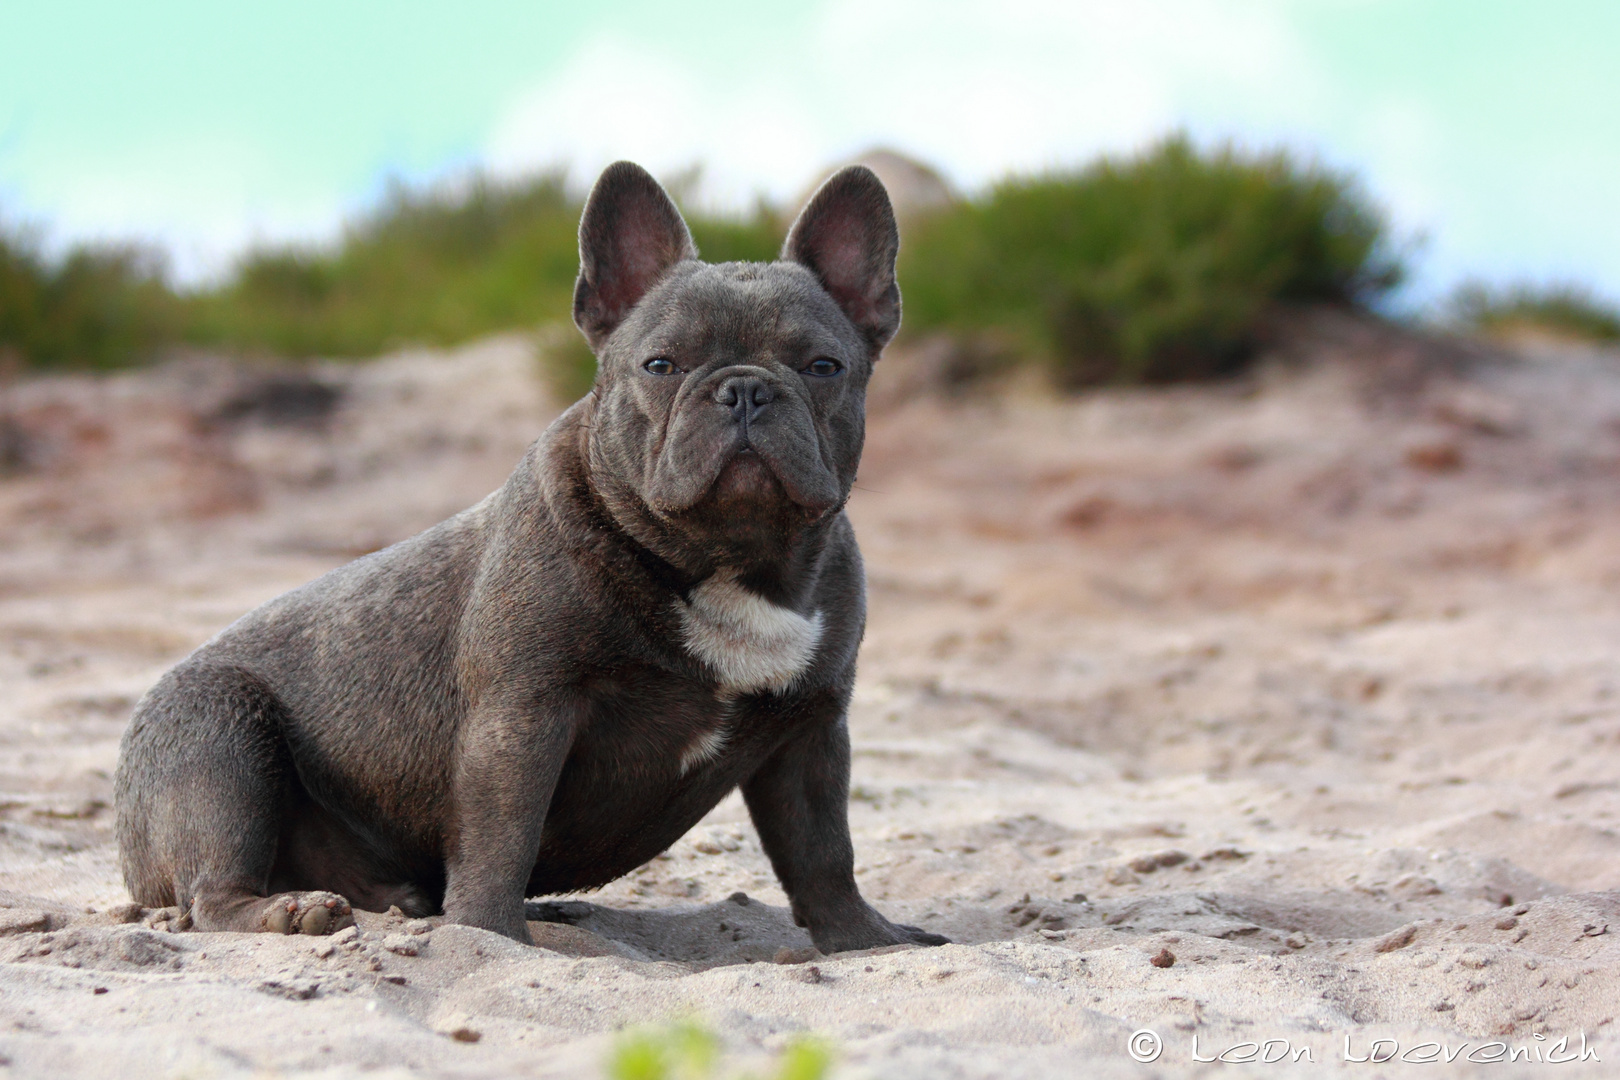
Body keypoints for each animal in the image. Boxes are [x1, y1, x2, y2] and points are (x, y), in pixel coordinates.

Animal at [117, 160, 946, 952]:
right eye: (662, 365)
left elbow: (824, 850)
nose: (744, 389)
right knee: (212, 891)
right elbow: (502, 837)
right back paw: (292, 913)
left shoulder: (811, 730)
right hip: (219, 738)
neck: (726, 559)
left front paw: (862, 941)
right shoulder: (524, 715)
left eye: (823, 367)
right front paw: (490, 934)